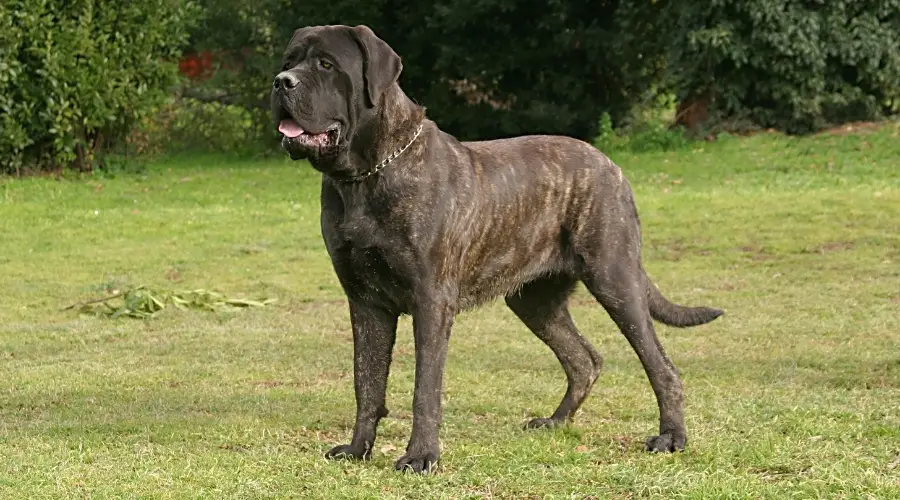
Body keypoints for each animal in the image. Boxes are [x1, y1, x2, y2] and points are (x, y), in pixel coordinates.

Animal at [268, 23, 724, 474]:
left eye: (326, 65)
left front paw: (421, 456)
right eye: (289, 61)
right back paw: (555, 422)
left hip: (615, 279)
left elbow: (424, 388)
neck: (365, 176)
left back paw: (671, 438)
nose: (281, 82)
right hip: (533, 301)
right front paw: (357, 449)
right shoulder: (365, 302)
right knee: (584, 359)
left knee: (661, 366)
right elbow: (366, 381)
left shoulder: (431, 302)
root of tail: (613, 167)